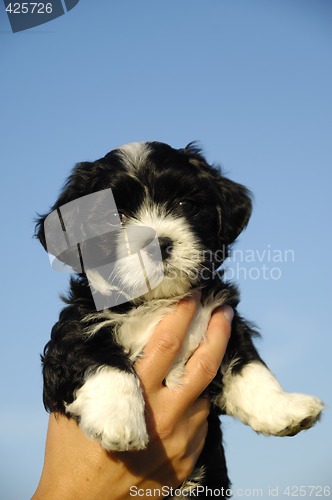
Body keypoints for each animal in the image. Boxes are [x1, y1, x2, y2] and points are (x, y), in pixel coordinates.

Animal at [35, 143, 322, 498]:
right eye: (114, 215)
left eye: (185, 204)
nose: (157, 244)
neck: (157, 301)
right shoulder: (74, 329)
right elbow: (99, 358)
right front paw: (119, 418)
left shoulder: (221, 318)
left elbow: (249, 365)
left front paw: (283, 408)